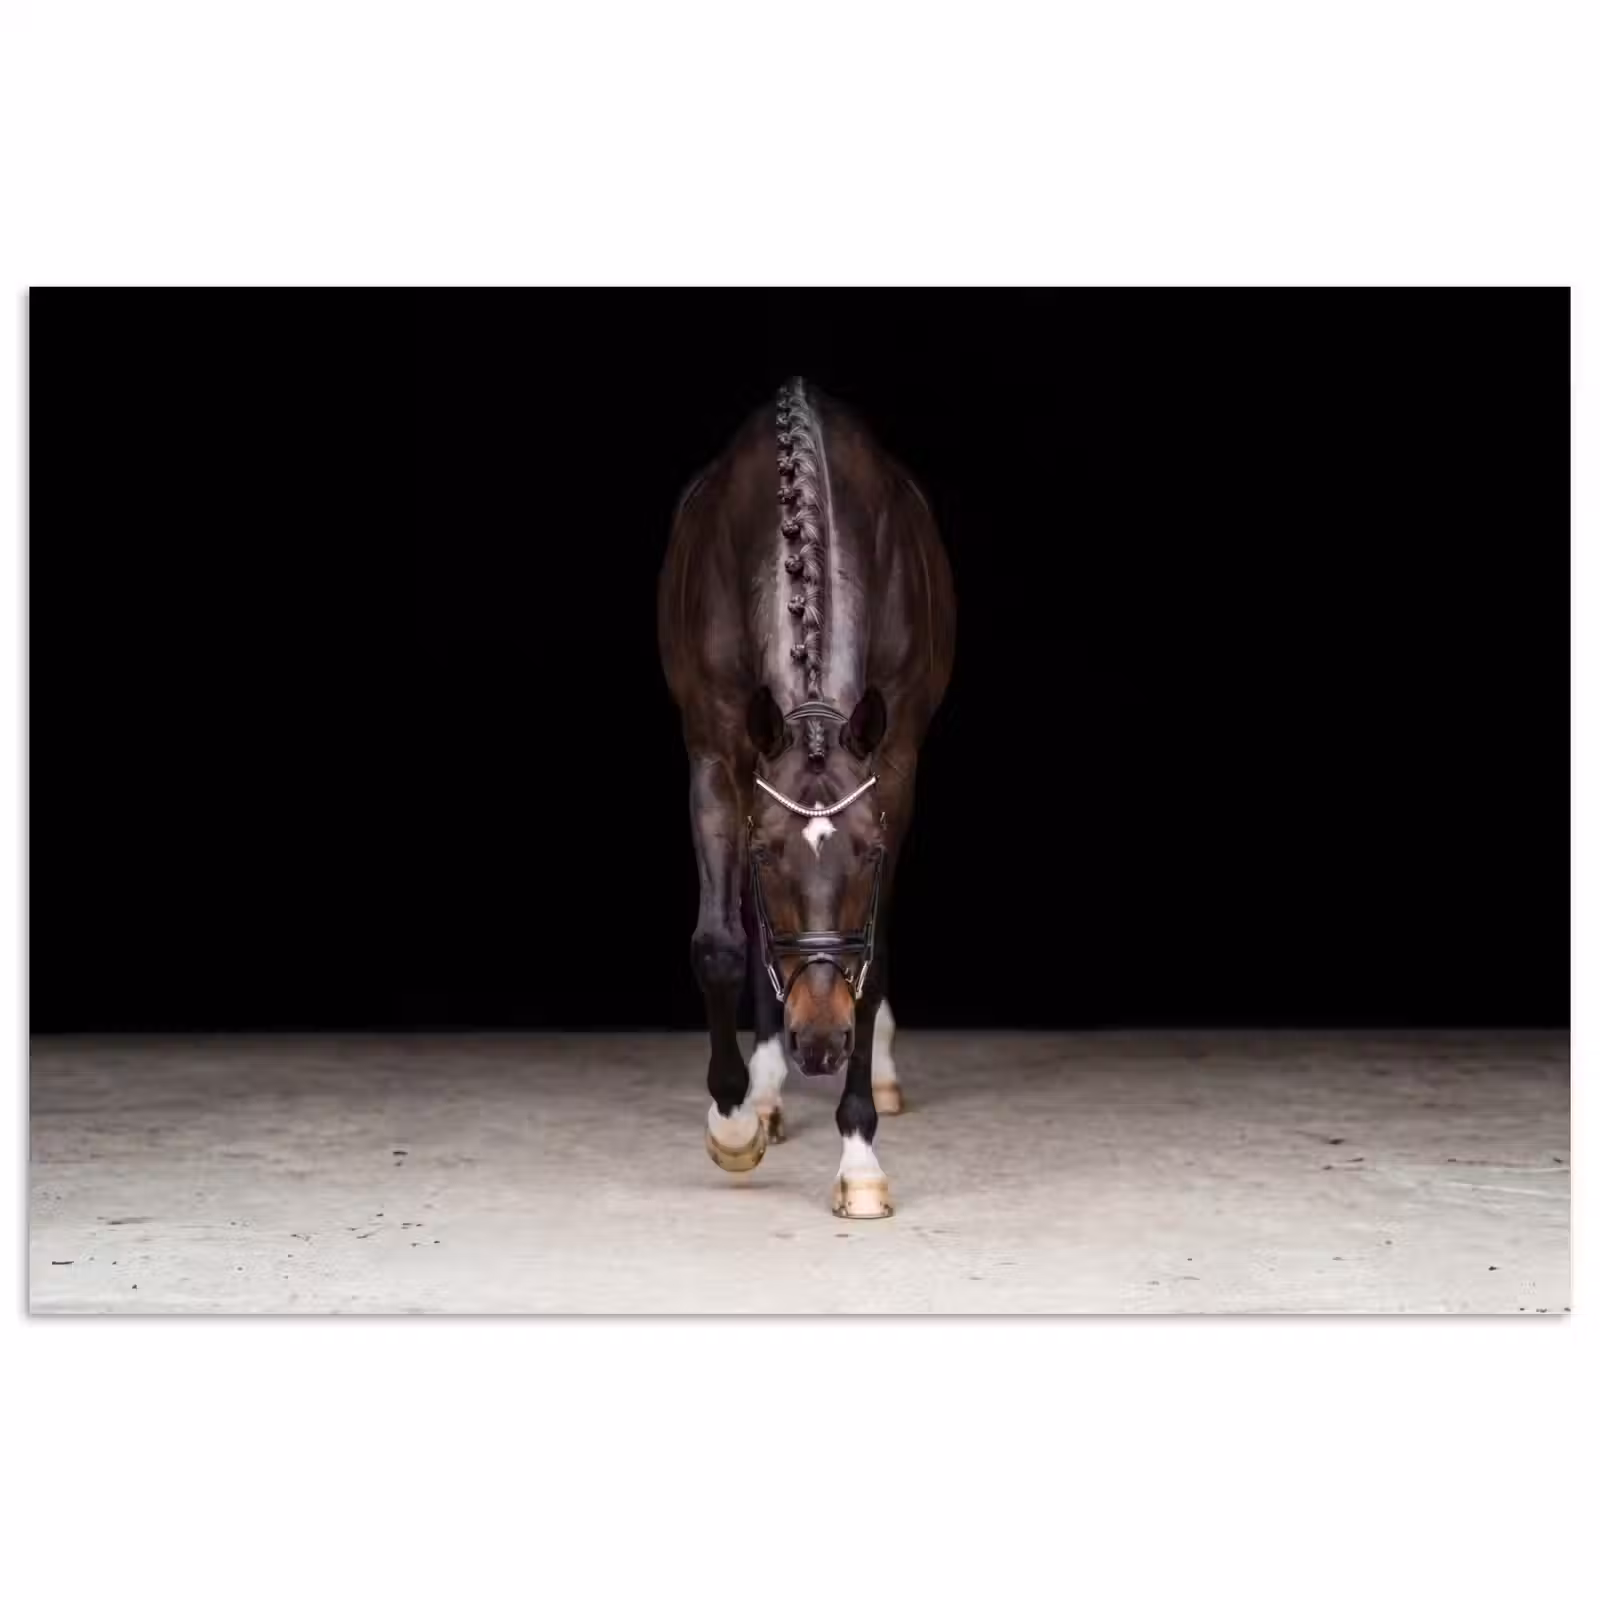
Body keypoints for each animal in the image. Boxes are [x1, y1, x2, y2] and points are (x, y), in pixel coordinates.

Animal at [658, 377, 956, 1217]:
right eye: (766, 854)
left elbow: (871, 961)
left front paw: (859, 1158)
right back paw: (763, 1093)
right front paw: (733, 1122)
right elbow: (723, 944)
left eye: (870, 852)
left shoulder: (895, 766)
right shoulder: (716, 754)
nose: (820, 1042)